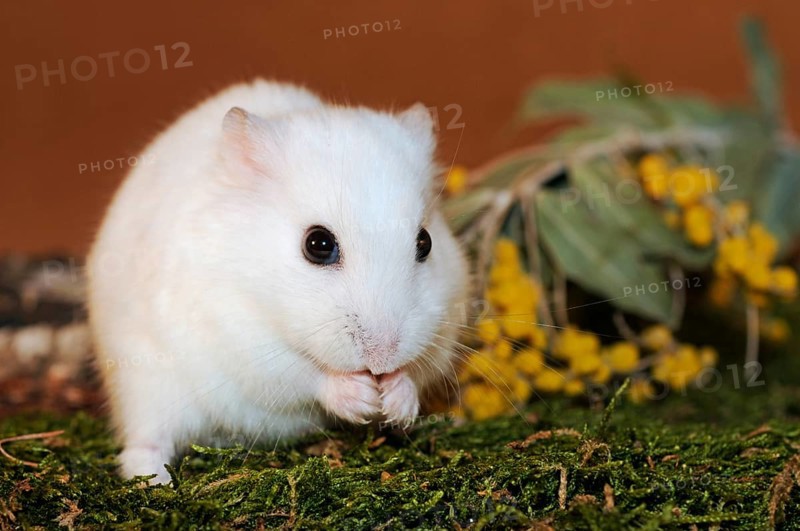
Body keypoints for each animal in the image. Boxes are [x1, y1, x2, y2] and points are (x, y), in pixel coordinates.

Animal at [87, 79, 469, 484]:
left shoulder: (444, 329)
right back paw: (157, 483)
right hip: (145, 386)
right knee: (143, 444)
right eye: (318, 244)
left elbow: (417, 373)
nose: (381, 360)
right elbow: (304, 375)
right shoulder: (243, 338)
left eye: (425, 242)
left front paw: (396, 400)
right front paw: (363, 398)